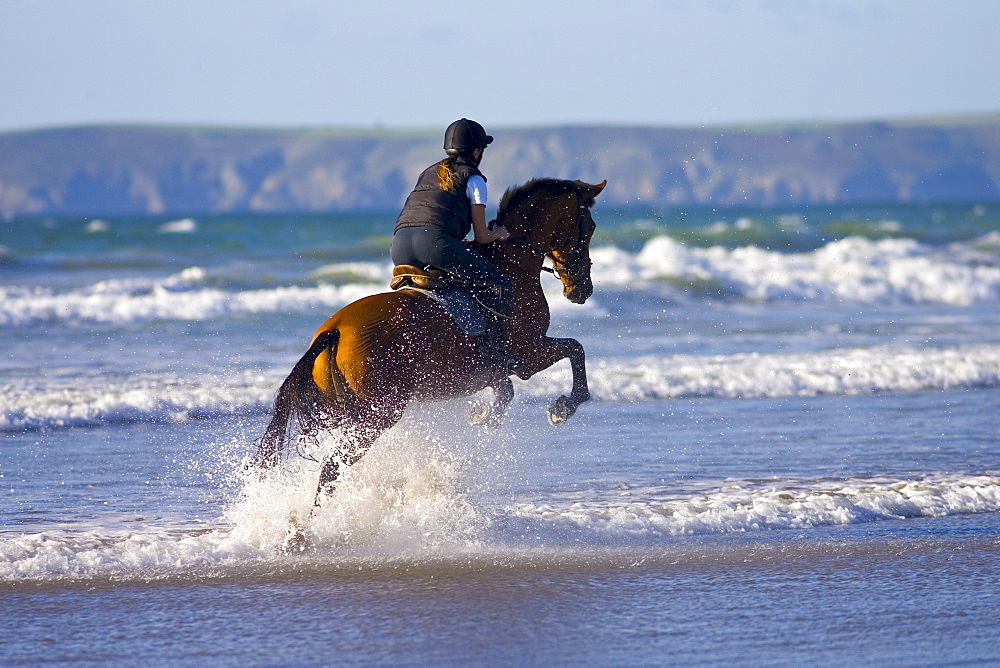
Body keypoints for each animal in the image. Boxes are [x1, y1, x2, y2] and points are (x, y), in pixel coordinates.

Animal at [250, 177, 608, 500]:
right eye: (589, 227)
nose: (581, 290)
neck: (513, 263)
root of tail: (334, 330)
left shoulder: (499, 368)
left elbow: (506, 389)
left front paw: (482, 416)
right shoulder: (528, 354)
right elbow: (575, 349)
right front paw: (563, 408)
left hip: (352, 414)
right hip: (378, 415)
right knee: (331, 467)